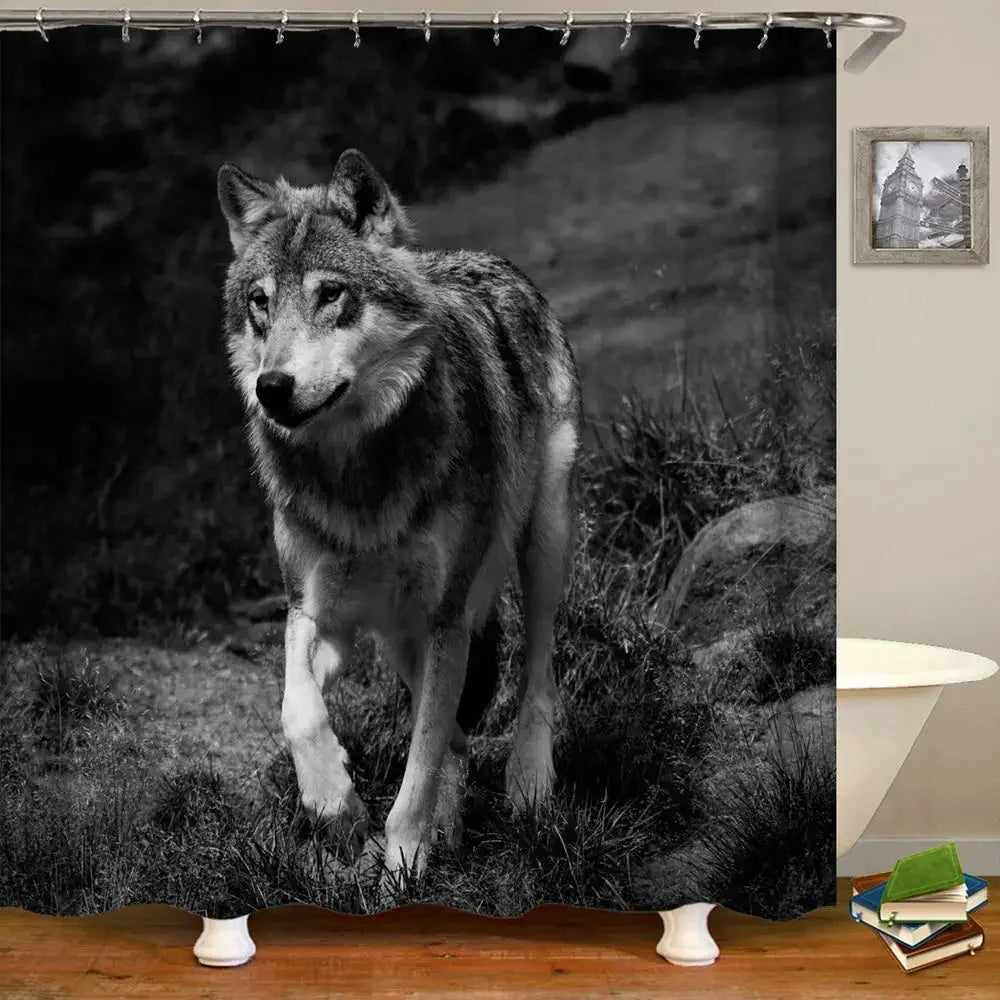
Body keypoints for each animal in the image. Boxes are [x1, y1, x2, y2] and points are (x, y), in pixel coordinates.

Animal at [217, 149, 582, 881]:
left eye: (331, 294)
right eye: (260, 302)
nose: (272, 388)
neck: (357, 476)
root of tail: (478, 257)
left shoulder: (444, 617)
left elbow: (419, 762)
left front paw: (405, 858)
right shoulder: (315, 612)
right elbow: (298, 712)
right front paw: (334, 801)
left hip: (541, 547)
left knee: (536, 675)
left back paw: (529, 783)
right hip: (399, 632)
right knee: (458, 739)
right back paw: (451, 816)